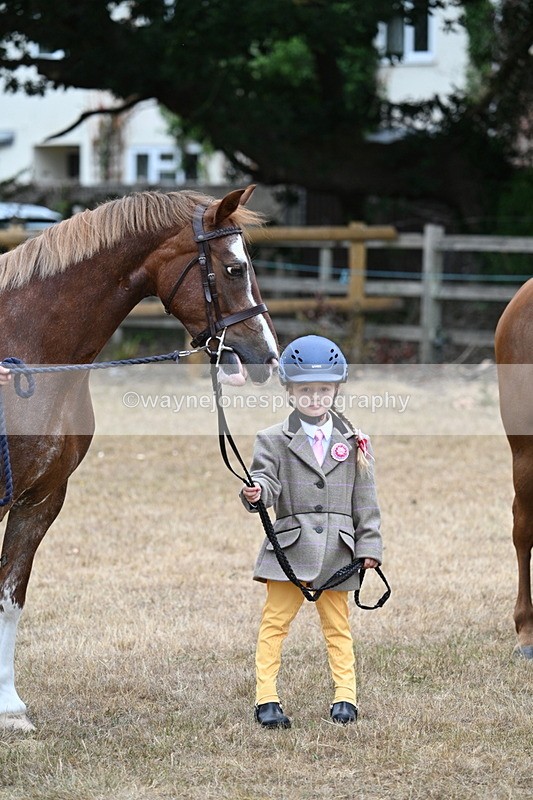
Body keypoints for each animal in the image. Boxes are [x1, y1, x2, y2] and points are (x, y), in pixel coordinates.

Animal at [0, 184, 278, 731]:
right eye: (234, 268)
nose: (268, 355)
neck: (27, 352)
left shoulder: (40, 501)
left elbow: (10, 600)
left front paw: (9, 708)